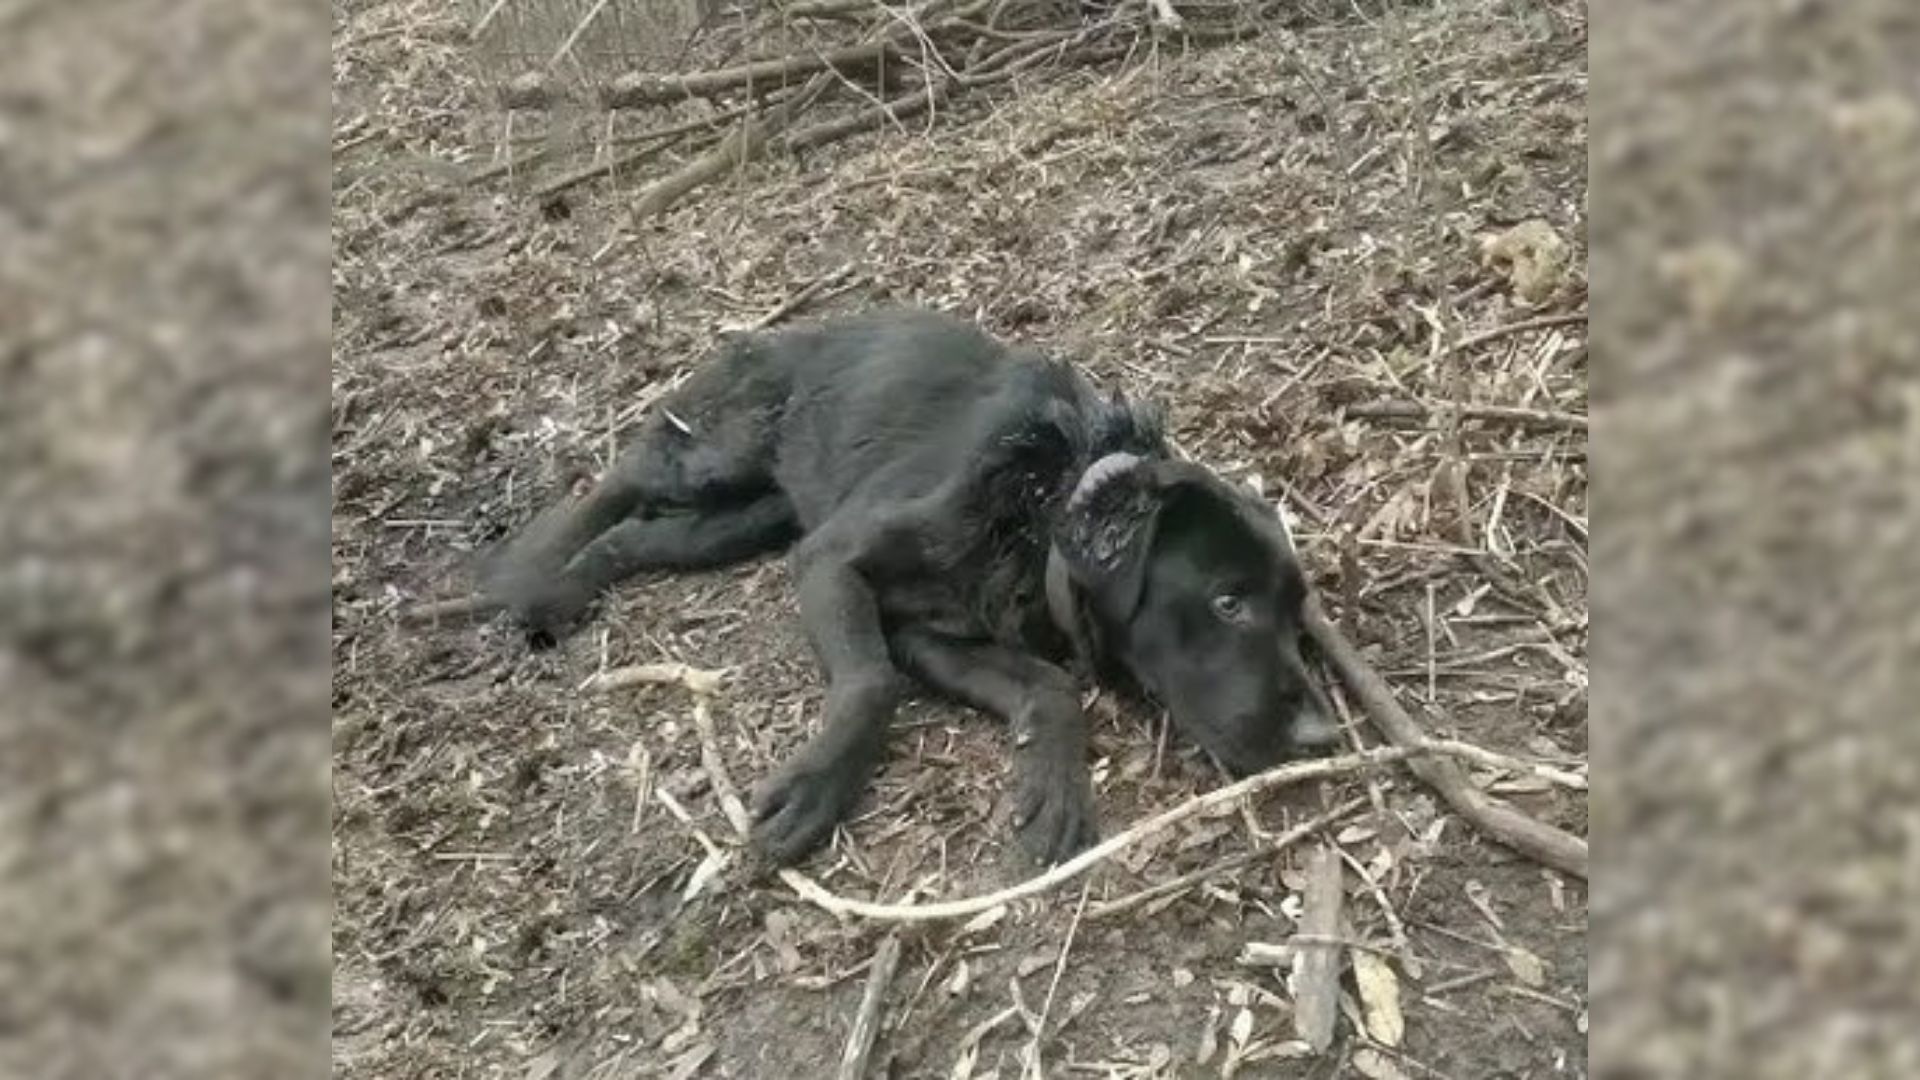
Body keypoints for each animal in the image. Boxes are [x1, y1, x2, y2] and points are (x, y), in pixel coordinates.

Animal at [483, 307, 1336, 860]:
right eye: (1227, 602)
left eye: (1297, 618)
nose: (1323, 737)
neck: (1045, 498)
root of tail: (777, 334)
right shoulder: (832, 561)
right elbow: (870, 683)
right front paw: (814, 791)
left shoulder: (930, 633)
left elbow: (1047, 684)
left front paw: (1052, 787)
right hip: (720, 455)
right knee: (621, 479)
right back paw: (517, 573)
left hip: (747, 520)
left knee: (633, 537)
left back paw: (561, 591)